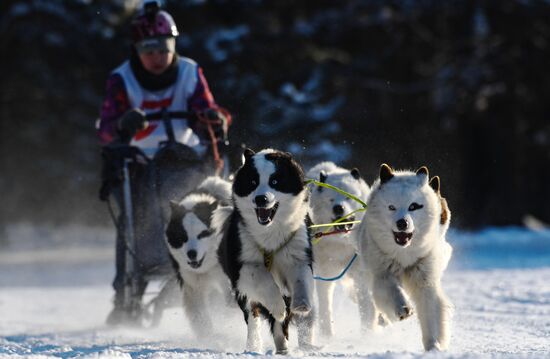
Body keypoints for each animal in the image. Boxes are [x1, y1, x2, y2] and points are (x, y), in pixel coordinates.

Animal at [164, 176, 233, 338]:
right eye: (182, 237)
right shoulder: (192, 284)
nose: (191, 253)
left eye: (202, 234)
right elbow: (200, 315)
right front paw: (208, 337)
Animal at [215, 148, 314, 354]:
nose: (261, 199)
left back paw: (282, 347)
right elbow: (263, 279)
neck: (270, 232)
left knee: (279, 326)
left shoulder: (298, 253)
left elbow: (301, 277)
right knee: (253, 317)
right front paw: (277, 306)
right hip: (244, 295)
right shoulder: (242, 267)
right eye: (253, 182)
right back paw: (254, 345)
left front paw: (301, 304)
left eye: (275, 181)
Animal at [360, 165, 454, 352]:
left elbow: (430, 311)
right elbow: (392, 291)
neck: (404, 255)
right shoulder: (383, 275)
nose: (402, 223)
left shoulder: (424, 280)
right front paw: (403, 308)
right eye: (391, 207)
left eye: (413, 206)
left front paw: (434, 345)